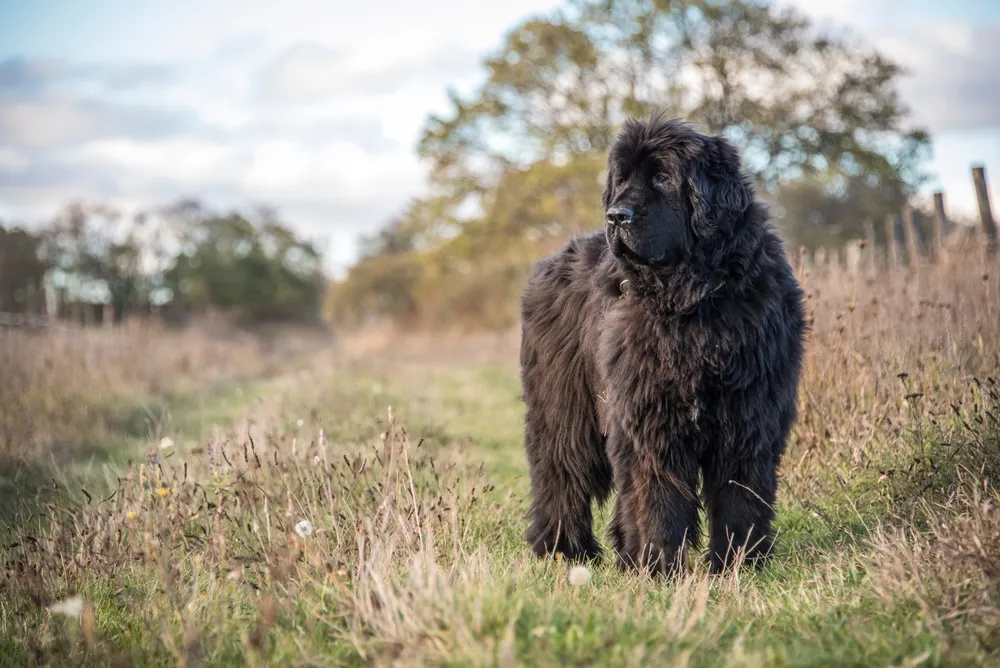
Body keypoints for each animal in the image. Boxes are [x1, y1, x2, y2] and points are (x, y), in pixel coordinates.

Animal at [520, 111, 808, 576]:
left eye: (662, 177)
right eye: (622, 179)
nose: (617, 216)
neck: (693, 302)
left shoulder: (749, 414)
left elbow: (740, 494)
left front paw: (738, 564)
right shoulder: (651, 417)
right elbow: (659, 498)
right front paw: (661, 567)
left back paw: (622, 555)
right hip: (565, 410)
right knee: (561, 475)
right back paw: (564, 551)